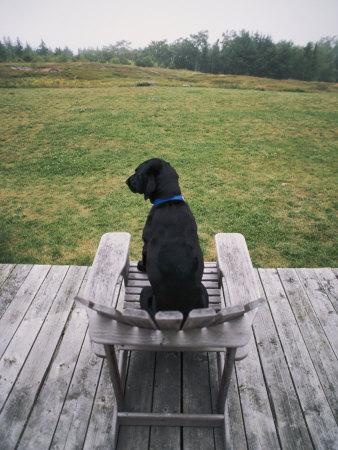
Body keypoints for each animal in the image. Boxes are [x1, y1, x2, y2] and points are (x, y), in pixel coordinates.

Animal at [125, 158, 207, 320]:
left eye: (137, 172)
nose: (127, 181)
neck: (168, 200)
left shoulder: (145, 244)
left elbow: (144, 257)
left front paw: (141, 266)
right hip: (203, 290)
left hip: (145, 291)